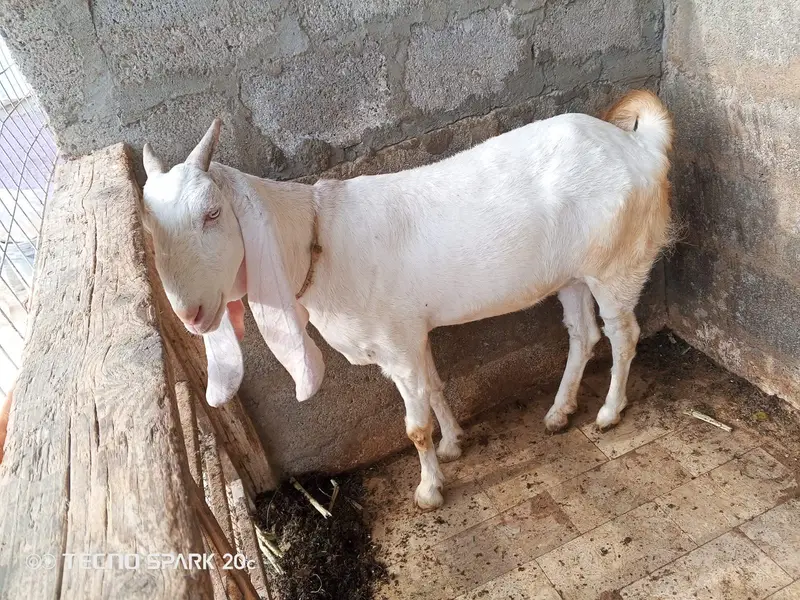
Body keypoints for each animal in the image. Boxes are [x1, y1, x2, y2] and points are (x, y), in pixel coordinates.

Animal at [141, 90, 673, 510]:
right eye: (147, 227)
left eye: (212, 213)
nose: (190, 314)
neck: (316, 241)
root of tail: (641, 147)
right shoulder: (413, 334)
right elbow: (435, 387)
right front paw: (454, 444)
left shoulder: (396, 344)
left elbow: (415, 428)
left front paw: (429, 490)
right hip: (573, 273)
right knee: (584, 335)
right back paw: (560, 413)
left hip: (617, 264)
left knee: (624, 335)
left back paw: (609, 412)